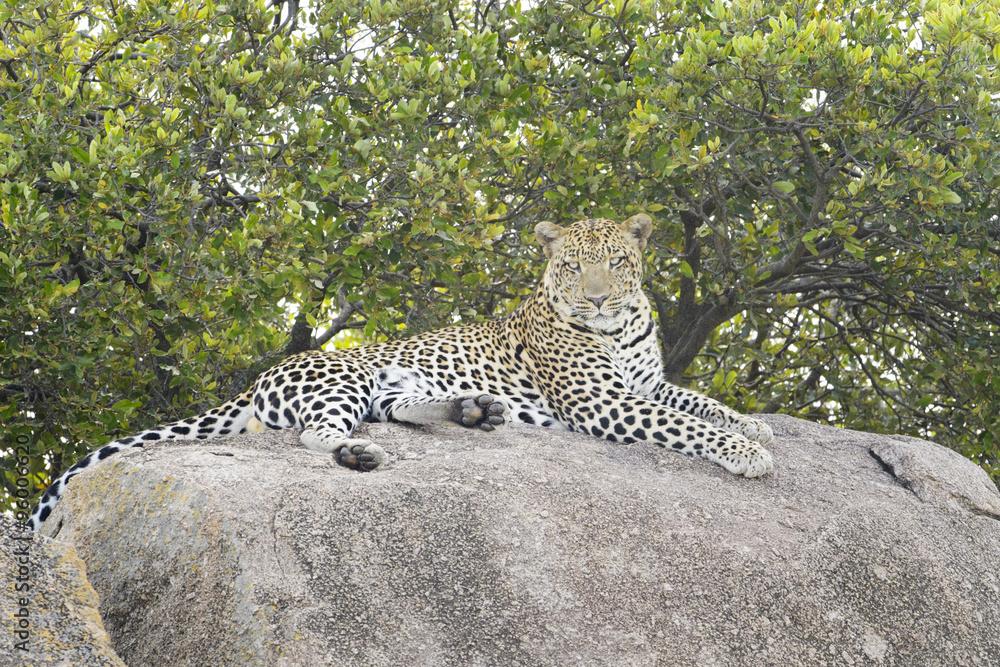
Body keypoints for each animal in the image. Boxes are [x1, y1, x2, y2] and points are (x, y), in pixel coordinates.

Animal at [27, 214, 773, 531]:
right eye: (571, 266)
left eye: (617, 261)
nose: (594, 298)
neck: (619, 327)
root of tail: (261, 375)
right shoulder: (601, 401)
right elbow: (682, 424)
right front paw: (748, 454)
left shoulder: (643, 384)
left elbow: (696, 401)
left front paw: (754, 424)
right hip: (343, 380)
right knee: (315, 435)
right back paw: (362, 454)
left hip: (393, 386)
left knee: (399, 410)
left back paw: (473, 409)